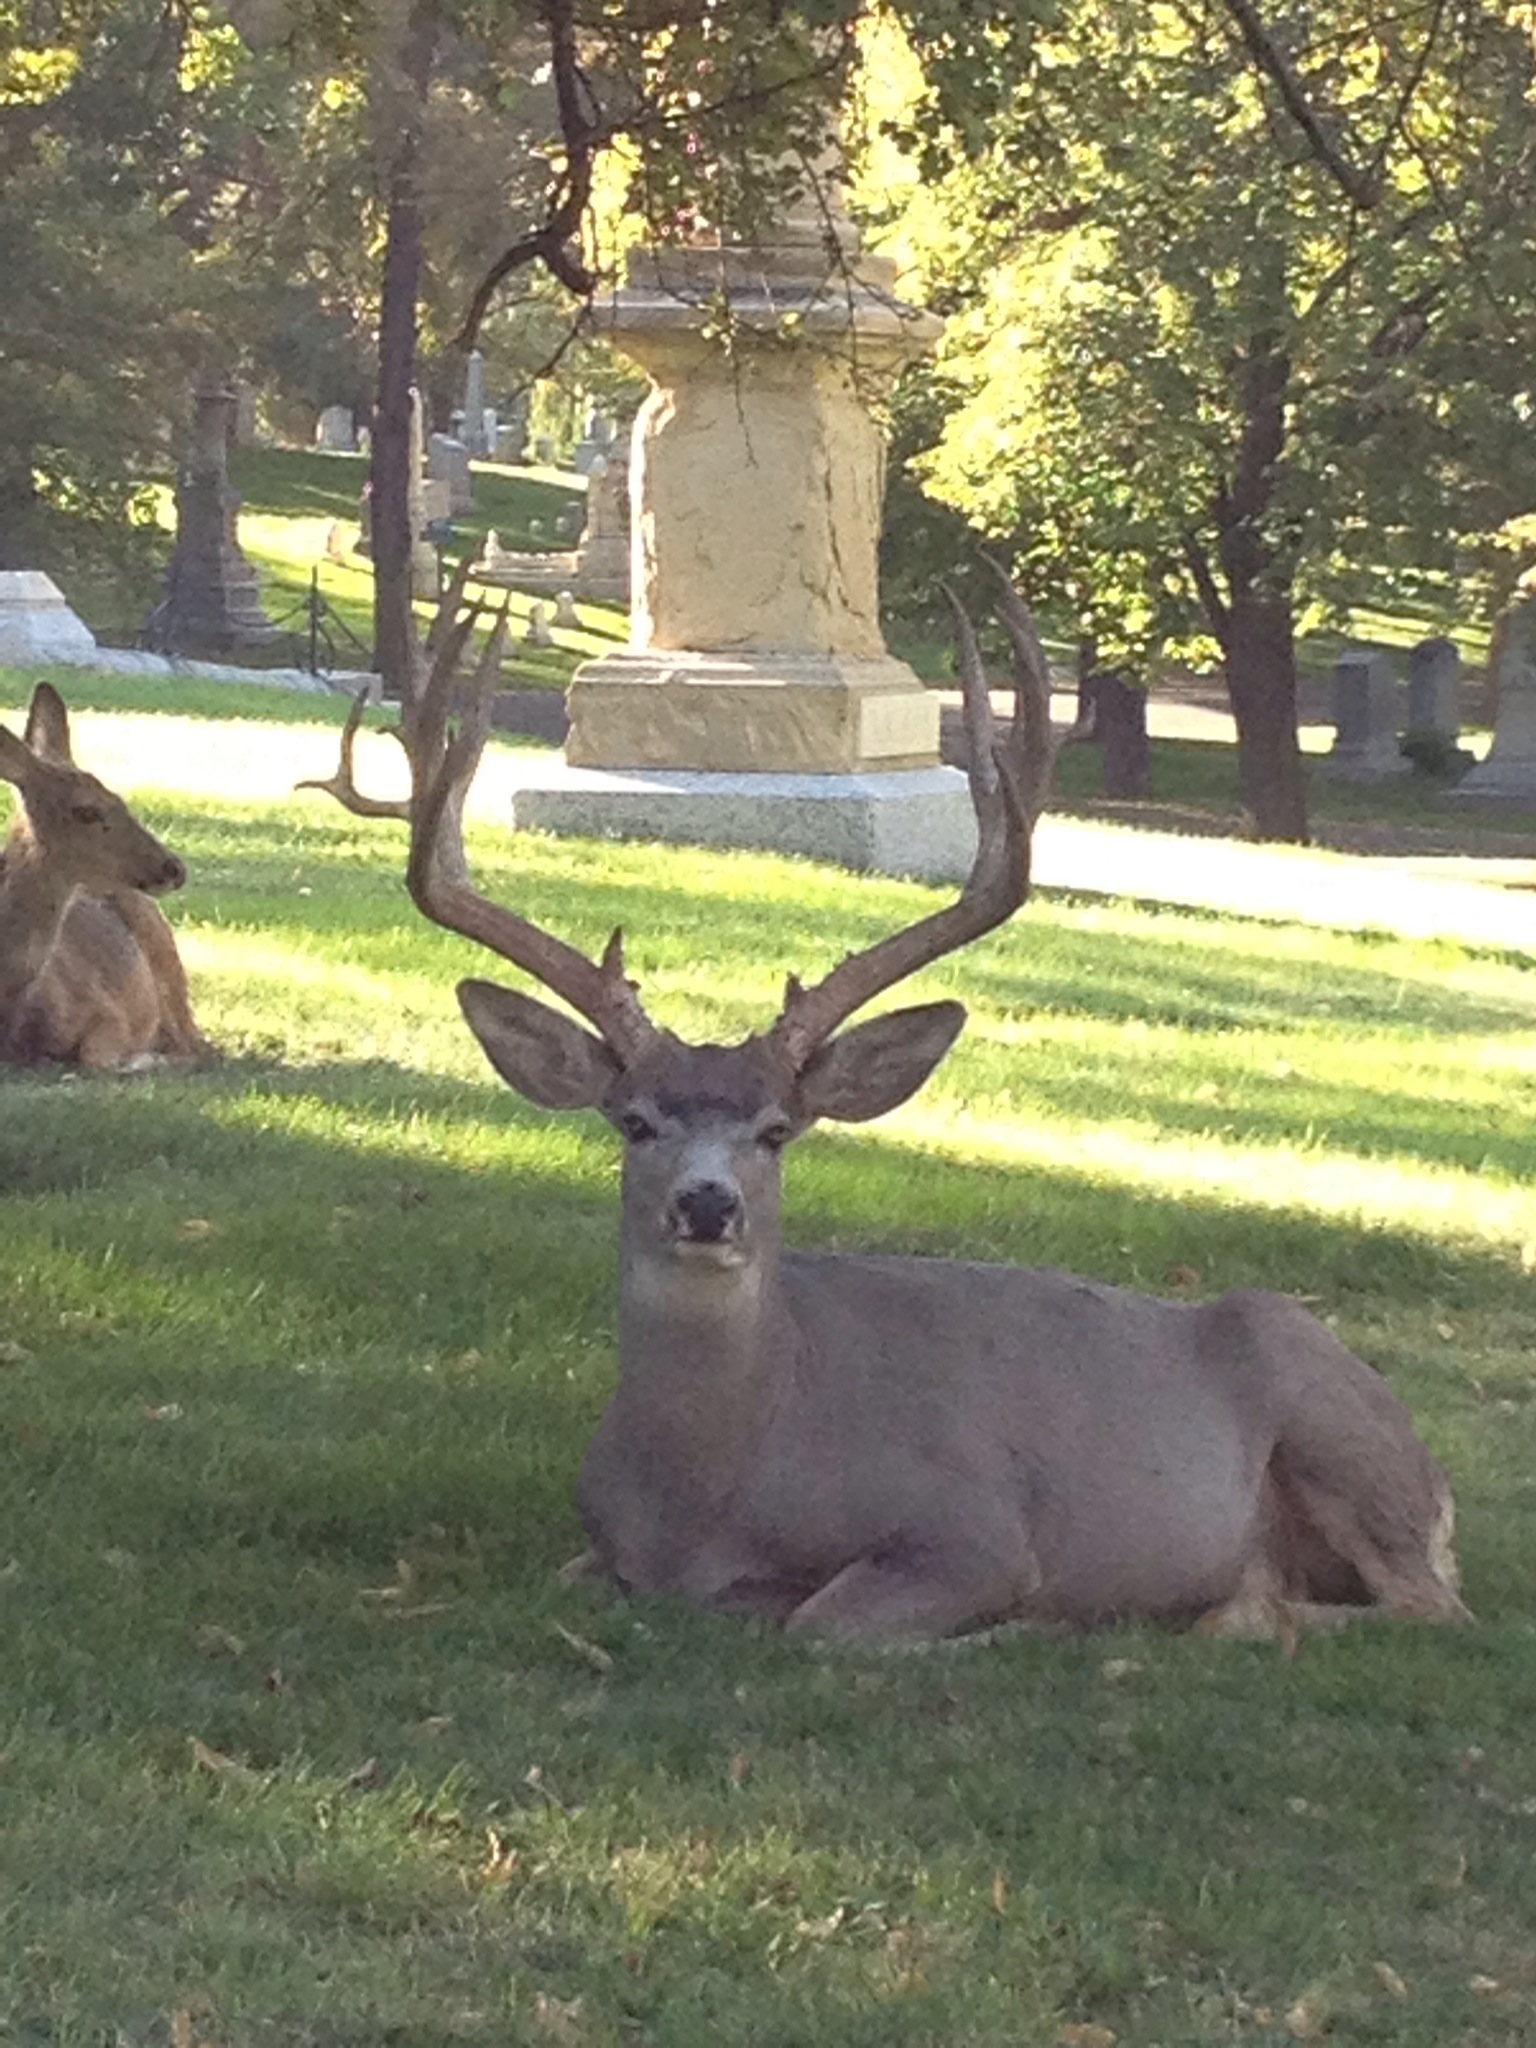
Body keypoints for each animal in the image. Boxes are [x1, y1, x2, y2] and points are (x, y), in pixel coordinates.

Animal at [0, 684, 211, 1073]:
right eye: (86, 810)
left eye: (120, 797)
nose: (174, 867)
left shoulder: (106, 1009)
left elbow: (95, 1059)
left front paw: (142, 1059)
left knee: (194, 1041)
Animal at [319, 573, 1474, 1646]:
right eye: (634, 1120)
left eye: (777, 1130)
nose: (708, 1204)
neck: (710, 1495)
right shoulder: (596, 1545)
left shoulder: (974, 1526)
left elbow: (822, 1620)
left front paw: (1012, 1625)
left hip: (1340, 1433)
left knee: (1431, 1609)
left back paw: (1227, 1613)